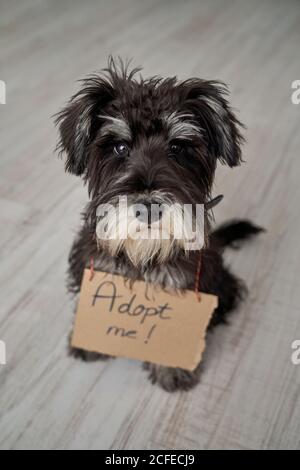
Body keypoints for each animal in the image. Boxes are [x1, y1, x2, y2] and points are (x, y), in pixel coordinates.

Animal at [55, 58, 264, 392]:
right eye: (119, 147)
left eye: (178, 148)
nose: (149, 207)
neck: (143, 253)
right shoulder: (95, 269)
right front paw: (87, 343)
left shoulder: (182, 286)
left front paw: (172, 370)